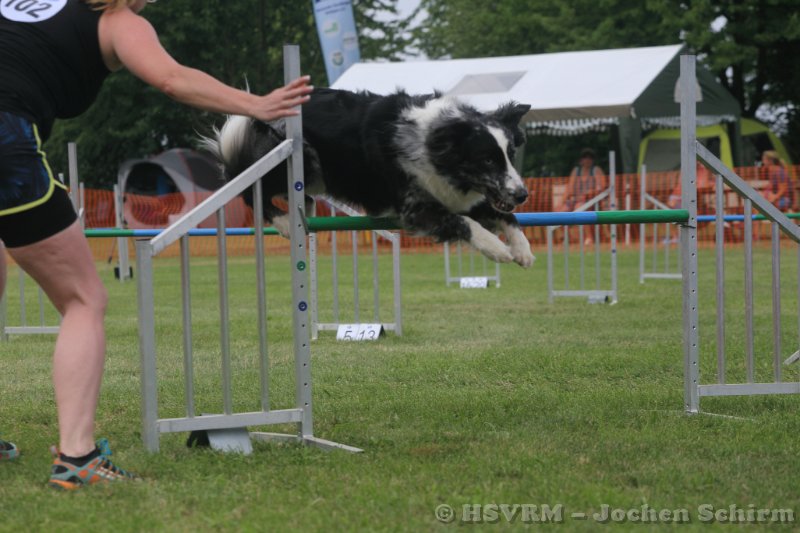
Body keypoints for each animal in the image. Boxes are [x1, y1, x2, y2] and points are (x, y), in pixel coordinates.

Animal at [203, 88, 535, 267]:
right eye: (487, 159)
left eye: (511, 152)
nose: (522, 195)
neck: (432, 141)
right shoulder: (415, 208)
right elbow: (465, 223)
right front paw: (497, 249)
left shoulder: (454, 193)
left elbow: (505, 216)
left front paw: (523, 251)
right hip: (297, 158)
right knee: (250, 190)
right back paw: (285, 222)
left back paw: (305, 209)